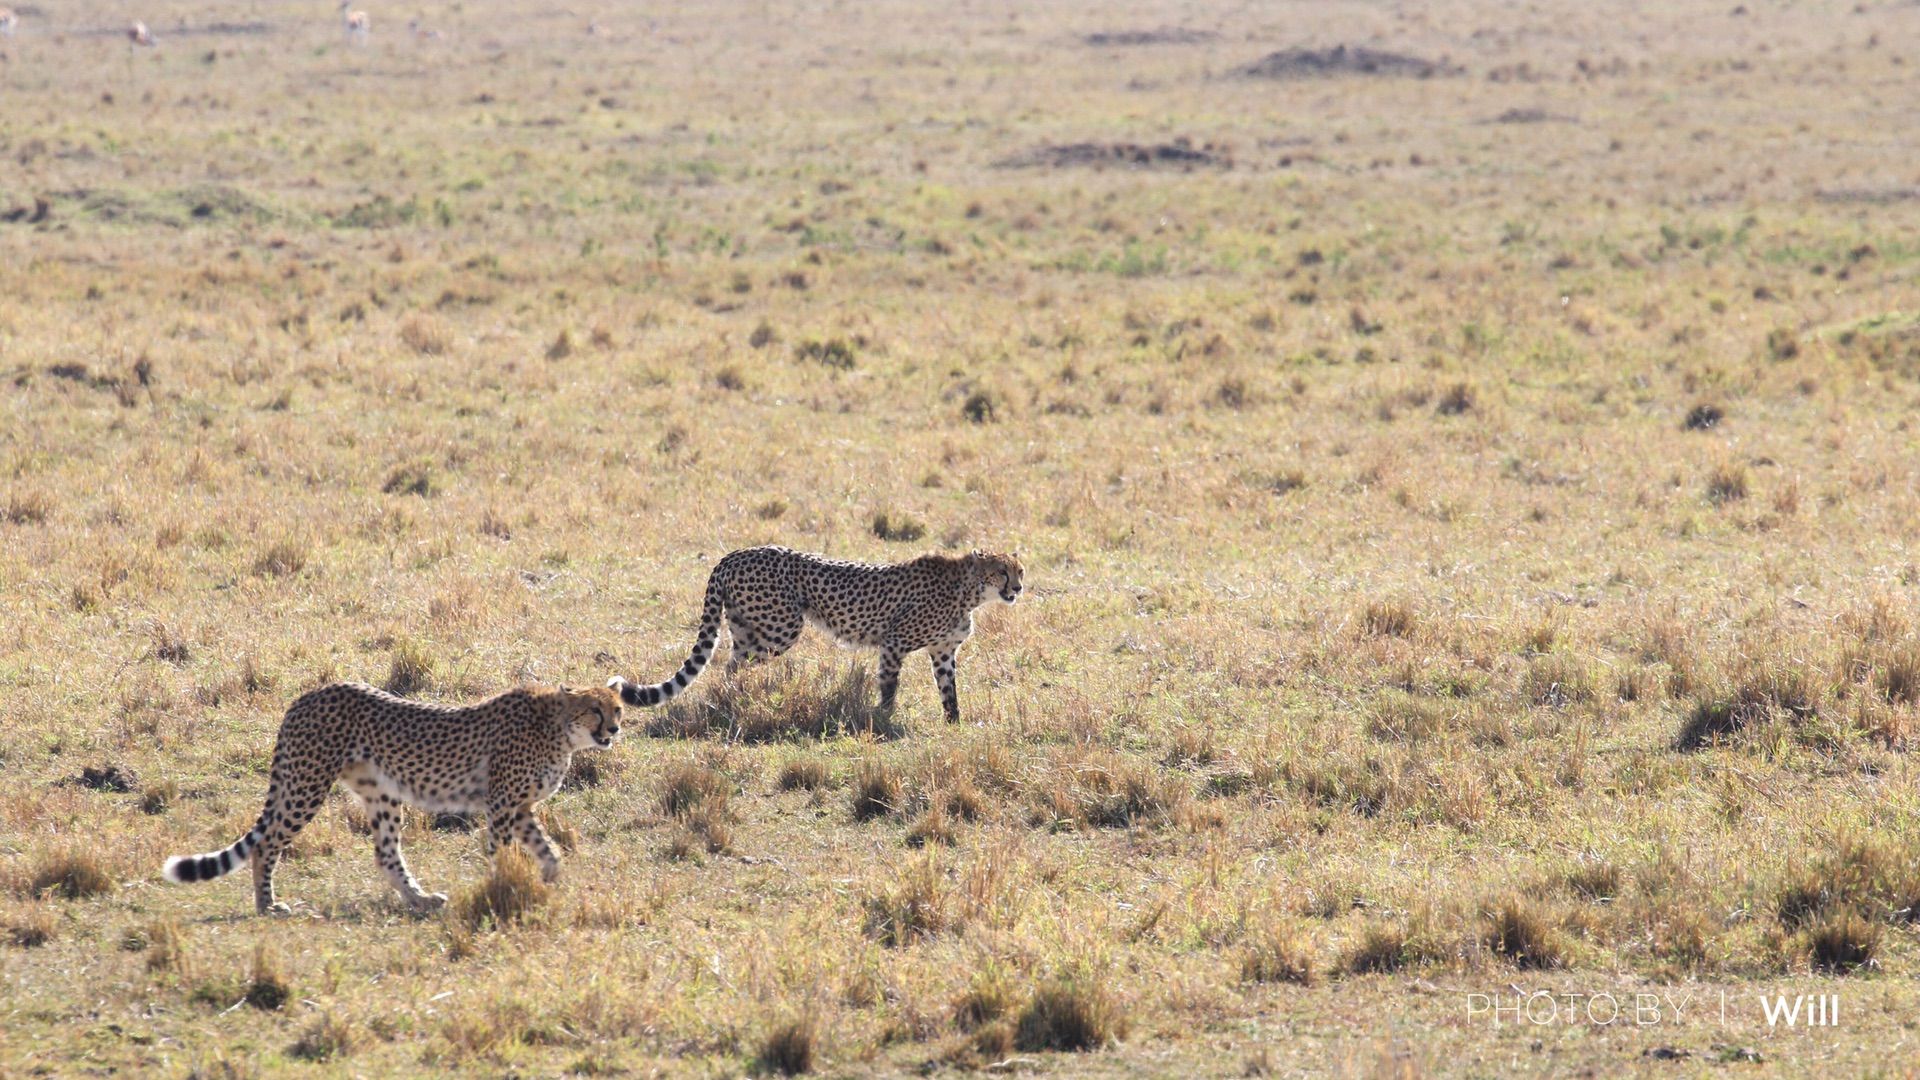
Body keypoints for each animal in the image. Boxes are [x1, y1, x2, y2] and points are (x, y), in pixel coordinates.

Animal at [162, 680, 622, 907]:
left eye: (617, 708)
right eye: (594, 709)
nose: (615, 729)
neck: (558, 728)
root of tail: (308, 695)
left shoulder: (520, 806)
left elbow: (547, 849)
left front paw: (548, 880)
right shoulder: (502, 803)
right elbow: (502, 851)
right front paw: (503, 887)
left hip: (380, 793)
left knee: (385, 853)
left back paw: (419, 899)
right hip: (308, 784)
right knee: (268, 842)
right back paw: (266, 904)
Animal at [610, 545, 1021, 722]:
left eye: (1020, 571)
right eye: (1001, 571)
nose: (1017, 589)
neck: (969, 591)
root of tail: (734, 554)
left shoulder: (943, 653)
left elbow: (949, 693)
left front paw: (955, 724)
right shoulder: (894, 642)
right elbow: (889, 685)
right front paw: (884, 718)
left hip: (748, 627)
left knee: (731, 666)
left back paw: (733, 701)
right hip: (782, 628)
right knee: (737, 666)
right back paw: (736, 702)